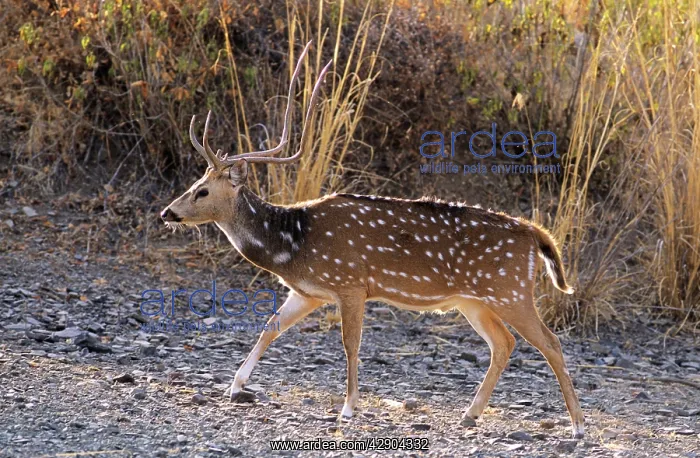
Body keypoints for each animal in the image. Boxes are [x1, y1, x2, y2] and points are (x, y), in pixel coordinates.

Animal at [160, 41, 585, 440]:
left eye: (201, 191)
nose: (168, 212)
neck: (293, 243)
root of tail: (536, 234)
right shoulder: (309, 291)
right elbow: (271, 326)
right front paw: (235, 386)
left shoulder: (351, 283)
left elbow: (351, 344)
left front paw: (348, 409)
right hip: (474, 301)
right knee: (504, 344)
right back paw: (470, 414)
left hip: (511, 292)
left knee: (550, 342)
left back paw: (578, 426)